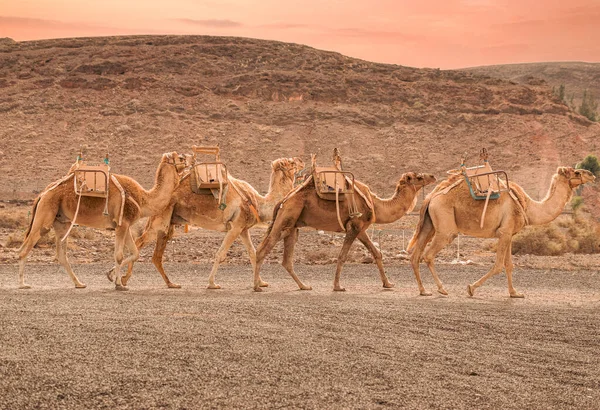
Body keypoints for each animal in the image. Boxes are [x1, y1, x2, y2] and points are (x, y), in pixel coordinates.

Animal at [17, 152, 186, 290]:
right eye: (181, 158)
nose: (189, 160)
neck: (143, 198)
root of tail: (43, 193)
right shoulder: (122, 224)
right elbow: (119, 255)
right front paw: (119, 284)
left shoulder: (124, 224)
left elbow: (135, 253)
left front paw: (112, 276)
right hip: (45, 214)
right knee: (27, 246)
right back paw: (22, 284)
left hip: (62, 222)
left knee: (61, 254)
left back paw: (79, 283)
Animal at [117, 156, 304, 288]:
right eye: (290, 161)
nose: (301, 161)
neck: (258, 202)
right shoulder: (235, 226)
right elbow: (221, 254)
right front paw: (212, 283)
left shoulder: (243, 228)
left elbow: (252, 253)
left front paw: (261, 282)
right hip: (159, 219)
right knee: (140, 242)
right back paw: (123, 279)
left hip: (168, 222)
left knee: (155, 255)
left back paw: (167, 283)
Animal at [253, 164, 436, 292]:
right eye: (419, 177)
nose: (433, 176)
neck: (376, 204)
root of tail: (283, 200)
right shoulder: (354, 227)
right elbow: (342, 256)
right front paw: (338, 286)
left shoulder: (361, 229)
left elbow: (377, 253)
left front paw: (388, 284)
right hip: (288, 216)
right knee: (263, 248)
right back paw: (257, 286)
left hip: (292, 225)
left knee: (286, 259)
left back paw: (304, 286)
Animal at [408, 167, 596, 298]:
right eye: (576, 172)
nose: (592, 175)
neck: (528, 206)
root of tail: (430, 197)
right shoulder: (504, 232)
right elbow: (498, 265)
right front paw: (471, 288)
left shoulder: (509, 234)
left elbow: (509, 265)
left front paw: (515, 293)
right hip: (445, 227)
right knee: (428, 255)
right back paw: (442, 289)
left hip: (429, 225)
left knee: (415, 255)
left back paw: (424, 290)